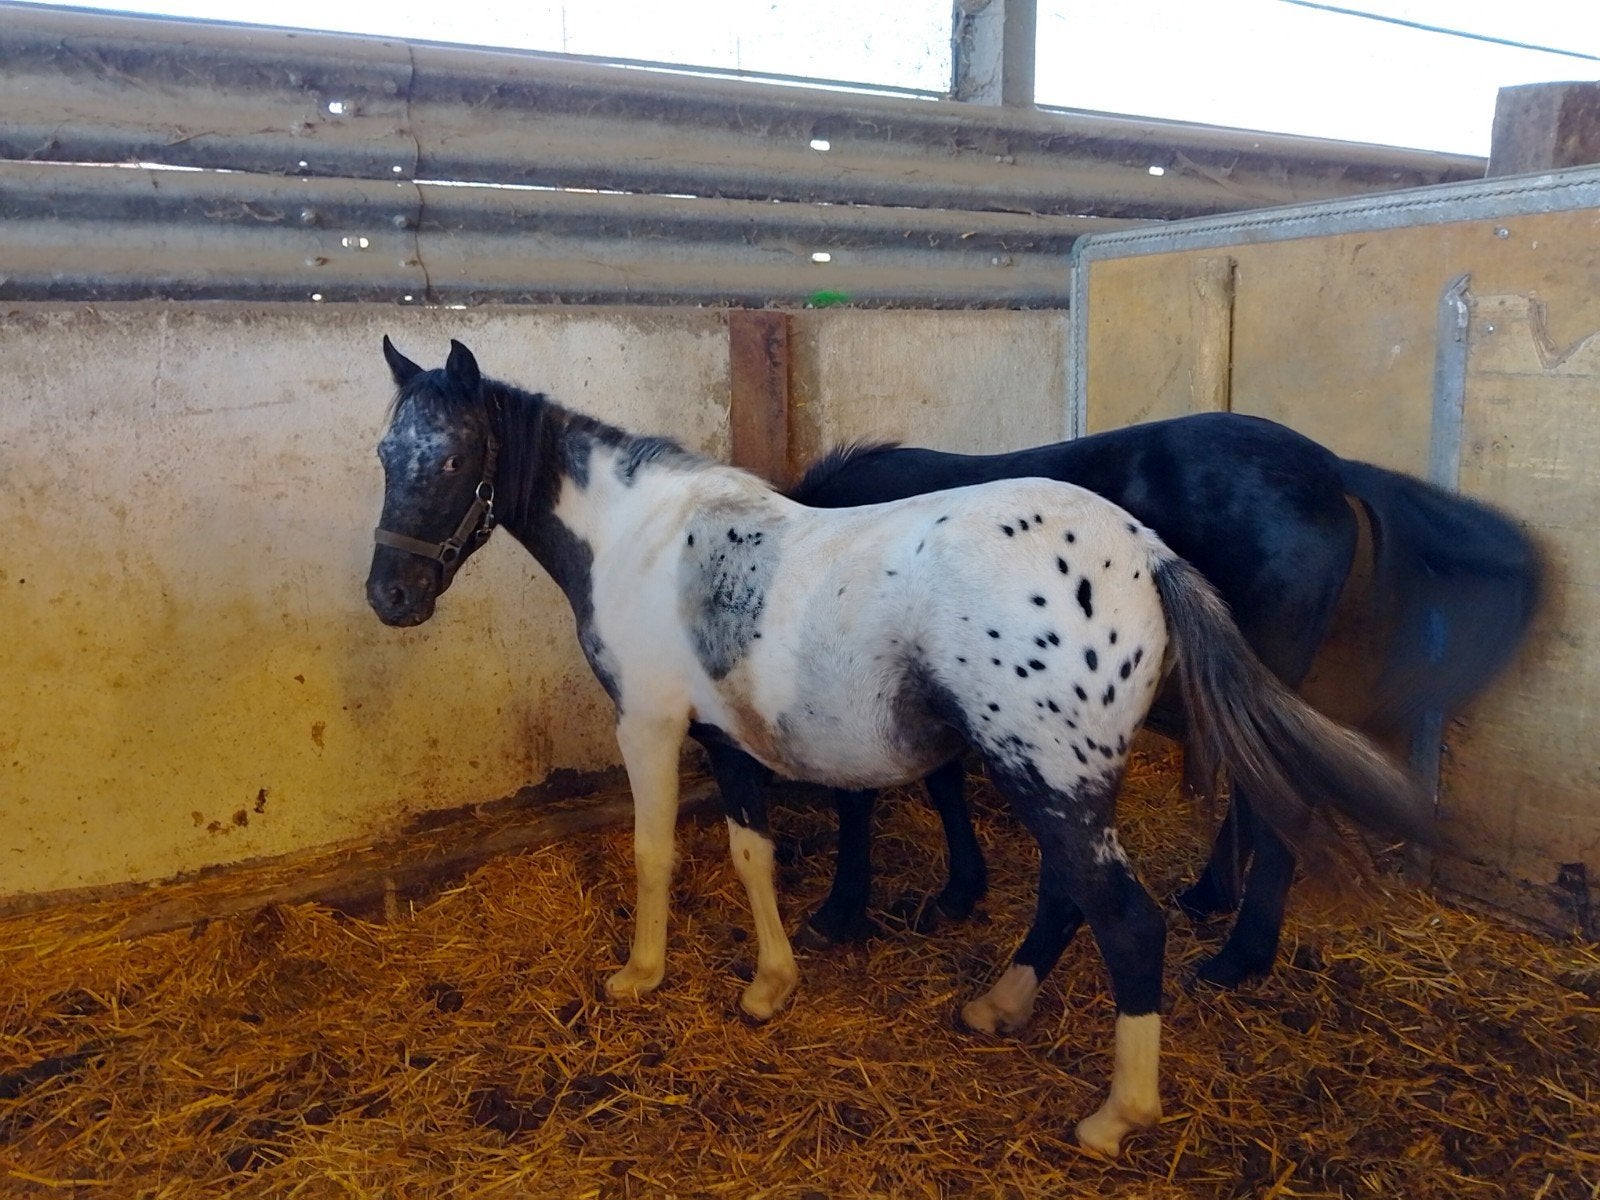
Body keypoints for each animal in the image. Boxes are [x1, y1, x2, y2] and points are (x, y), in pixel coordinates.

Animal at [365, 338, 1433, 1156]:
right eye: (385, 453)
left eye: (455, 461)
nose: (391, 598)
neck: (647, 542)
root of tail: (1148, 554)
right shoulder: (726, 737)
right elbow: (752, 854)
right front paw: (772, 985)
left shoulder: (651, 724)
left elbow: (655, 851)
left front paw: (641, 975)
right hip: (1068, 778)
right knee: (1070, 893)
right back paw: (1001, 1005)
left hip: (1045, 771)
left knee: (1130, 920)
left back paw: (1116, 1114)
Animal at [774, 418, 1540, 987]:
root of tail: (1330, 468)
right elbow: (941, 784)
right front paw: (959, 892)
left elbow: (861, 798)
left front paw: (840, 911)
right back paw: (1210, 900)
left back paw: (1239, 958)